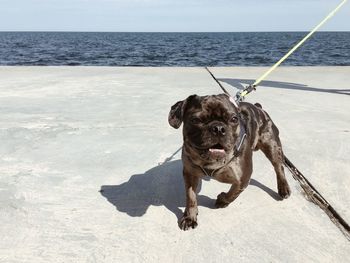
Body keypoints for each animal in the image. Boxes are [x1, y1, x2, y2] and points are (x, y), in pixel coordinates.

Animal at [168, 94, 292, 231]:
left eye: (234, 119)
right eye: (195, 120)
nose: (218, 128)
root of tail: (259, 108)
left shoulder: (242, 179)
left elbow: (232, 194)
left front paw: (222, 200)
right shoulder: (190, 174)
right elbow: (191, 197)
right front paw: (190, 217)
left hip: (272, 146)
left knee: (278, 167)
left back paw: (284, 188)